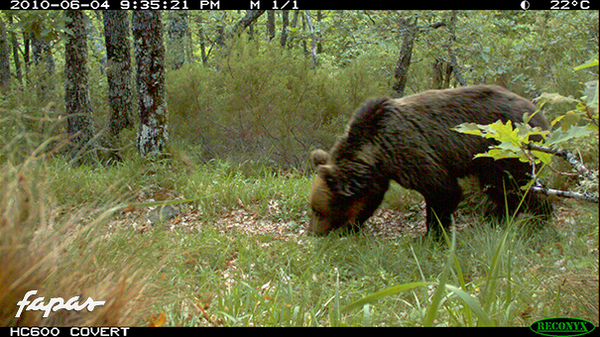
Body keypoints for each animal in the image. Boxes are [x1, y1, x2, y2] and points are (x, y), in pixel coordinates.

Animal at [310, 85, 552, 235]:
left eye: (318, 210)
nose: (314, 233)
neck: (377, 154)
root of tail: (539, 114)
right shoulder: (381, 175)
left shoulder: (411, 152)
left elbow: (443, 191)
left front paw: (432, 235)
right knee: (500, 190)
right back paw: (497, 219)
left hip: (505, 149)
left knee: (513, 187)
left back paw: (538, 219)